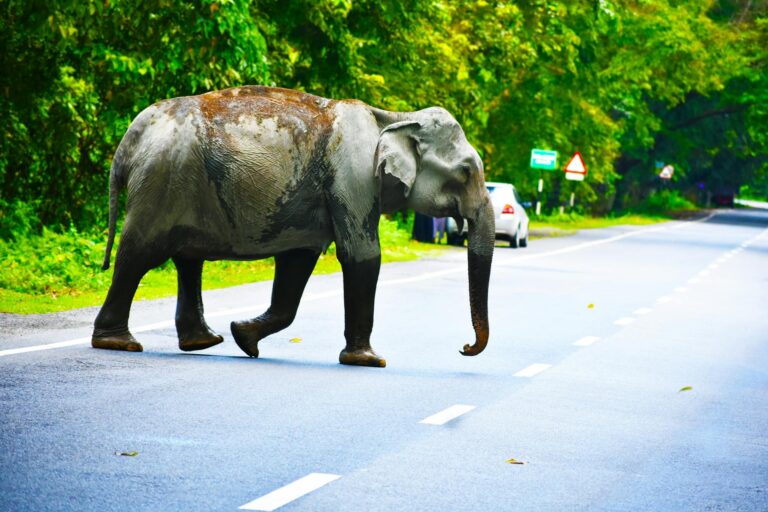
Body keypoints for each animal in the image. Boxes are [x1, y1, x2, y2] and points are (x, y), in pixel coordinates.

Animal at [92, 86, 494, 367]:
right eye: (465, 172)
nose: (464, 348)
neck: (394, 116)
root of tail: (133, 134)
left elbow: (297, 263)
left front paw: (244, 337)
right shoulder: (352, 176)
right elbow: (362, 256)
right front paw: (370, 361)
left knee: (187, 258)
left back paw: (204, 342)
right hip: (163, 179)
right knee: (140, 253)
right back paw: (118, 343)